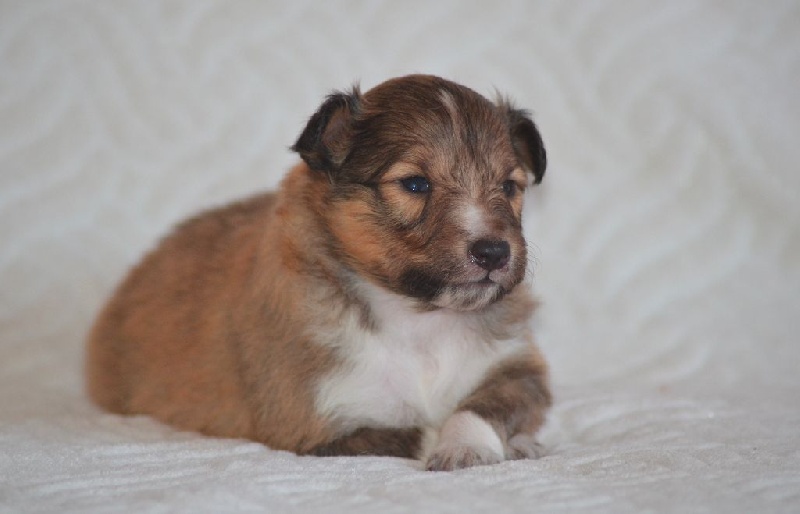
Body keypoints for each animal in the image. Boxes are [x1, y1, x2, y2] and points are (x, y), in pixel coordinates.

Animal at [86, 74, 552, 470]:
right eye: (415, 184)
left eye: (509, 187)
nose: (494, 252)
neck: (419, 321)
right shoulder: (319, 425)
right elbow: (420, 430)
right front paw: (480, 444)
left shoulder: (519, 369)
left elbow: (479, 407)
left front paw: (478, 445)